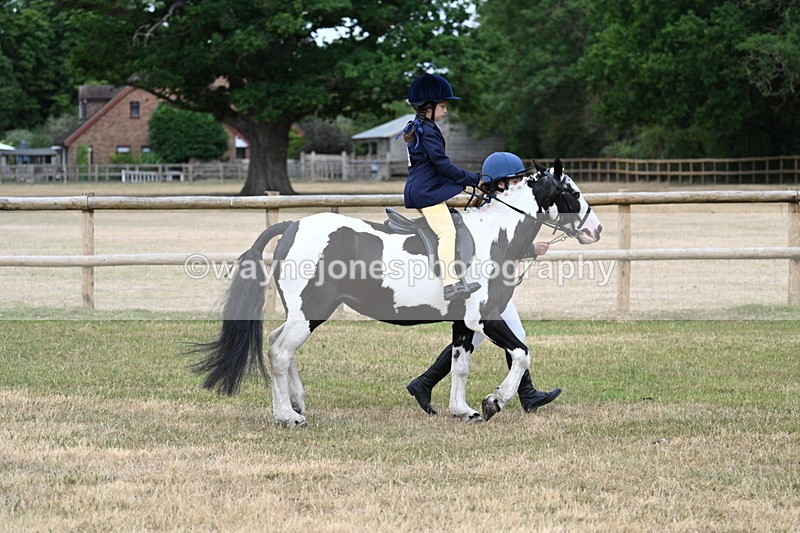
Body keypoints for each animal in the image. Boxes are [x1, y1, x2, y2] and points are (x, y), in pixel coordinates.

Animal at [191, 160, 602, 427]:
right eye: (572, 192)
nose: (595, 229)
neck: (493, 237)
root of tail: (293, 224)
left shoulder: (463, 323)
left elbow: (460, 364)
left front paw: (462, 410)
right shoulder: (483, 316)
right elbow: (520, 354)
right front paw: (493, 403)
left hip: (304, 313)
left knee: (278, 346)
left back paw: (296, 402)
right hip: (310, 312)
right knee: (278, 353)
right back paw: (287, 416)